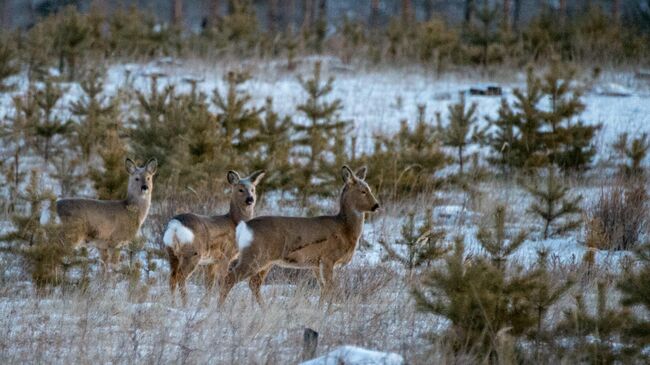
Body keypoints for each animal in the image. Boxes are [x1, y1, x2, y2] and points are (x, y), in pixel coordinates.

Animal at [165, 169, 266, 302]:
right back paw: (185, 303)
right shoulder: (226, 255)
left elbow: (209, 284)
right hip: (192, 253)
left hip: (171, 253)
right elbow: (222, 281)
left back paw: (172, 303)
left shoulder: (211, 261)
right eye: (240, 189)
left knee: (172, 278)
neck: (234, 223)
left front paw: (206, 304)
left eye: (253, 189)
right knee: (181, 277)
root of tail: (175, 226)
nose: (250, 199)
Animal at [219, 165, 378, 304]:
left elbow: (323, 289)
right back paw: (220, 309)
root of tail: (243, 227)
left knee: (254, 284)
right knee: (230, 278)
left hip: (266, 261)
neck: (345, 229)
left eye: (369, 189)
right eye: (363, 191)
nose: (376, 205)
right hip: (254, 255)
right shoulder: (328, 258)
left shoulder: (316, 264)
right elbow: (330, 289)